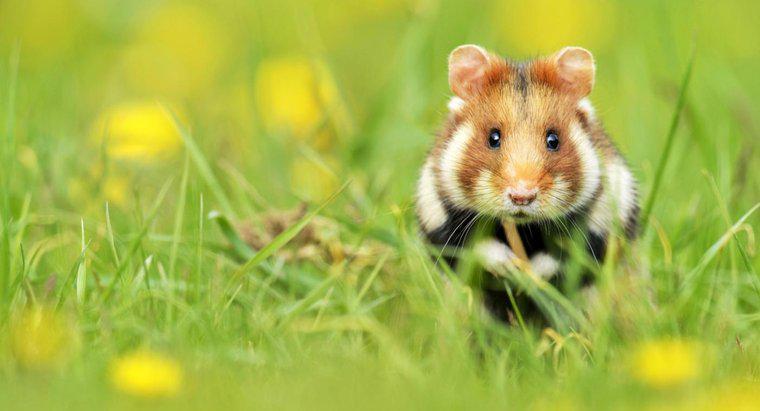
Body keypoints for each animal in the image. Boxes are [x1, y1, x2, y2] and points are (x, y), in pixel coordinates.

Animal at [412, 45, 640, 322]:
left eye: (553, 139)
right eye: (493, 137)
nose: (522, 197)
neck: (524, 230)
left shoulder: (600, 225)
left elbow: (562, 255)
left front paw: (528, 277)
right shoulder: (440, 218)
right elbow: (477, 247)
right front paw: (511, 269)